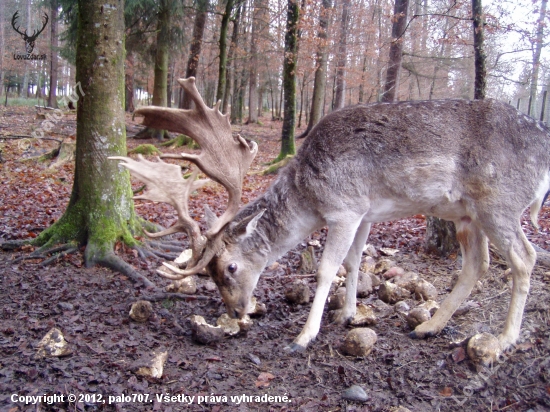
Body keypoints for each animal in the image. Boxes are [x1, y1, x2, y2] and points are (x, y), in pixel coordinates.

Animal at [111, 78, 550, 354]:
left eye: (230, 267)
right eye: (211, 274)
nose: (236, 312)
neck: (310, 196)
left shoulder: (344, 209)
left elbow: (326, 270)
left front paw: (303, 336)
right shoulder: (366, 213)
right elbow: (354, 261)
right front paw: (348, 314)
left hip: (499, 202)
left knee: (524, 257)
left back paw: (506, 339)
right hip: (467, 214)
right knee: (478, 263)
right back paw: (428, 327)